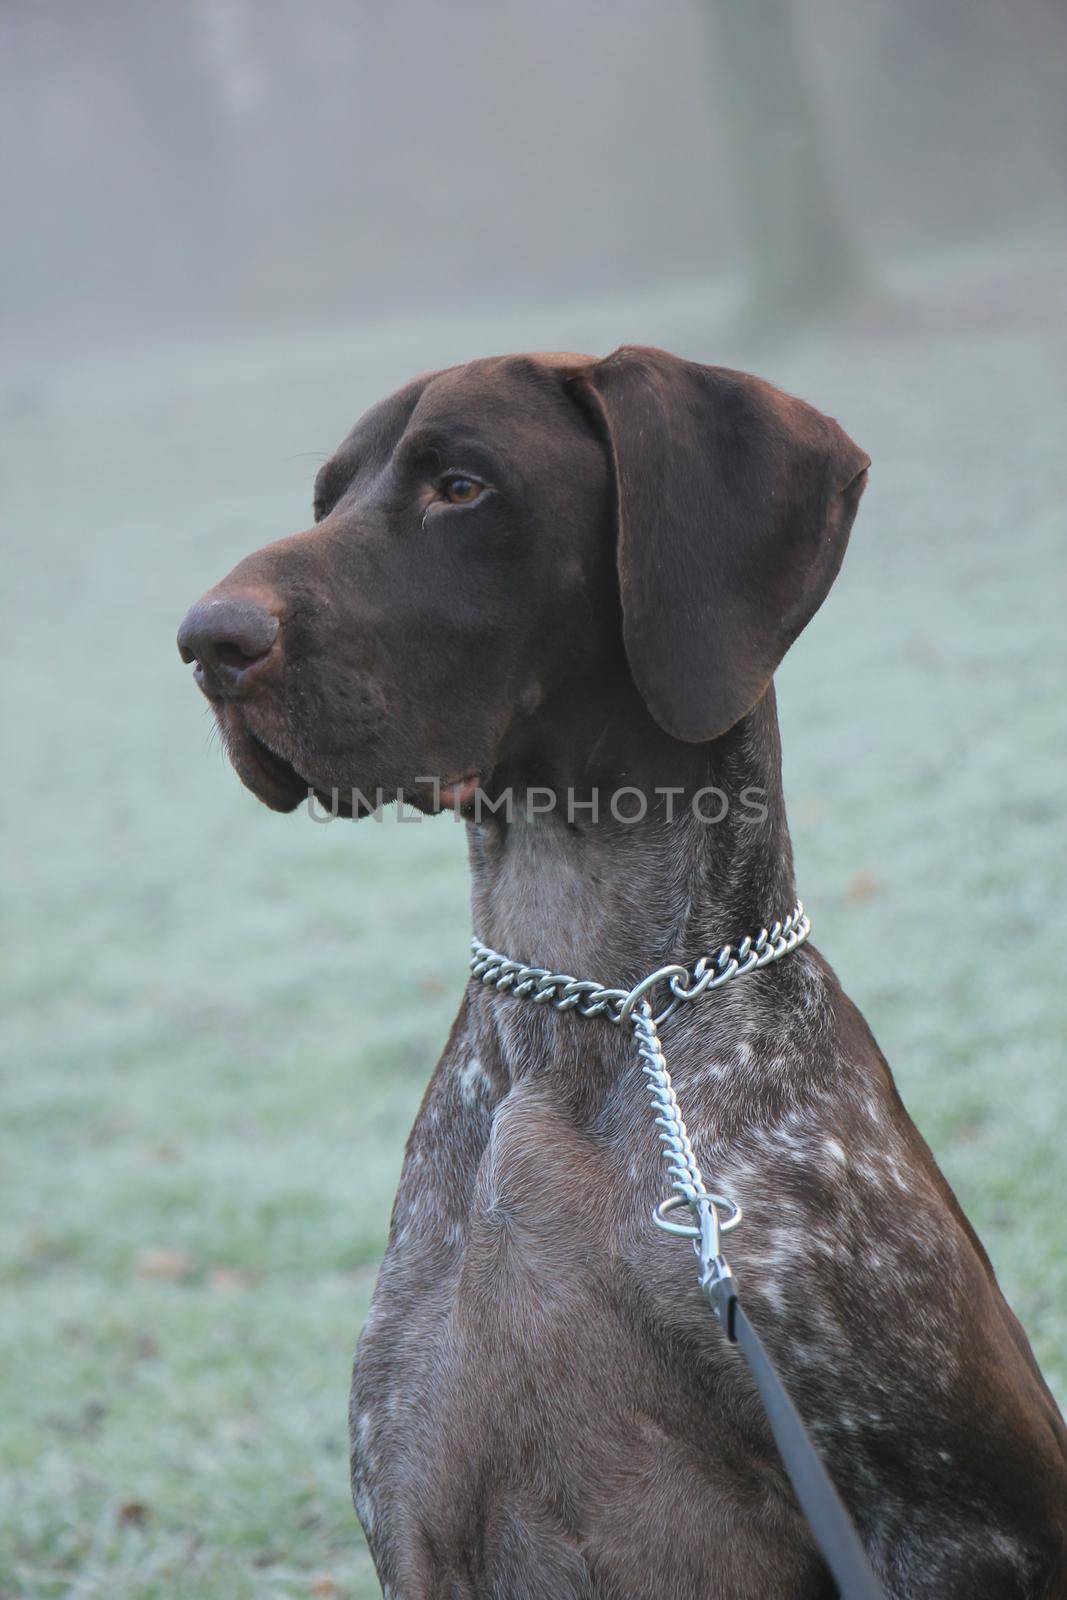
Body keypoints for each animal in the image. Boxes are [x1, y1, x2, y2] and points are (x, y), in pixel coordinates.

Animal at [179, 344, 1062, 1593]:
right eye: (326, 500)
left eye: (460, 488)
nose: (204, 641)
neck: (595, 1014)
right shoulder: (417, 1517)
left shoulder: (959, 1526)